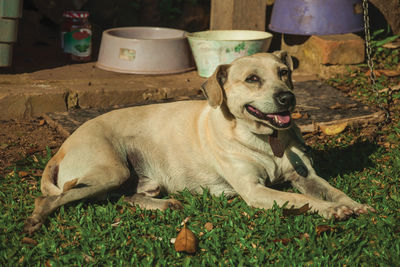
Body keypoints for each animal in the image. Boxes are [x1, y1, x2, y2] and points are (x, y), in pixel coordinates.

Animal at [24, 51, 376, 234]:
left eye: (284, 72)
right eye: (252, 79)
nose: (287, 98)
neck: (265, 140)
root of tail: (62, 148)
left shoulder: (305, 176)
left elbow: (333, 191)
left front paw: (353, 204)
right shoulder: (255, 191)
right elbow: (306, 200)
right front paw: (332, 211)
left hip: (136, 181)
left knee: (123, 198)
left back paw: (166, 204)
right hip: (111, 171)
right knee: (51, 198)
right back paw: (35, 221)